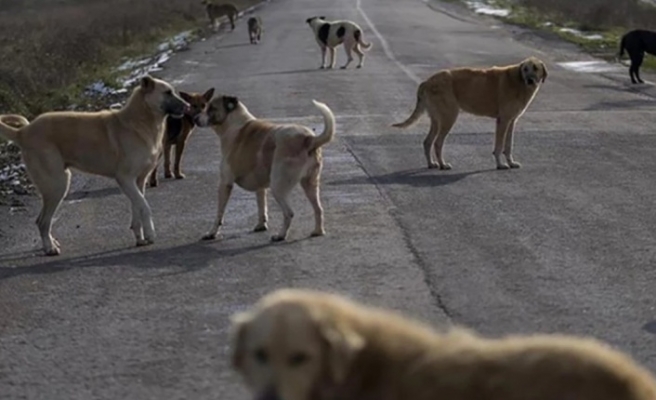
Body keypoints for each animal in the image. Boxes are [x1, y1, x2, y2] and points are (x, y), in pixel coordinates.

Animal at [0, 76, 190, 255]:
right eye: (167, 92)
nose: (188, 106)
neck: (140, 121)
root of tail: (23, 132)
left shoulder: (138, 181)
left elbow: (137, 208)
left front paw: (140, 238)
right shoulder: (125, 179)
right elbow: (145, 206)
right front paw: (150, 234)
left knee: (44, 220)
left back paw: (52, 244)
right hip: (57, 185)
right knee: (42, 221)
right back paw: (50, 248)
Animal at [192, 95, 334, 242]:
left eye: (211, 108)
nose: (194, 119)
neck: (234, 123)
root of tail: (309, 138)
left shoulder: (225, 183)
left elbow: (219, 214)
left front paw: (212, 233)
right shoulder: (260, 186)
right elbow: (261, 206)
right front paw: (261, 225)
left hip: (278, 187)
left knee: (289, 213)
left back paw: (281, 235)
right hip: (310, 184)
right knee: (318, 209)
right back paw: (318, 231)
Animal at [394, 55, 548, 169]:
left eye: (535, 68)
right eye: (525, 69)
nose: (529, 80)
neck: (518, 81)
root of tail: (427, 81)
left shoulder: (511, 121)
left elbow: (508, 145)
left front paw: (510, 162)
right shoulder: (503, 121)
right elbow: (499, 146)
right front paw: (500, 164)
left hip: (437, 120)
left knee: (427, 142)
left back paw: (432, 164)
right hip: (449, 117)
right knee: (437, 142)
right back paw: (443, 164)